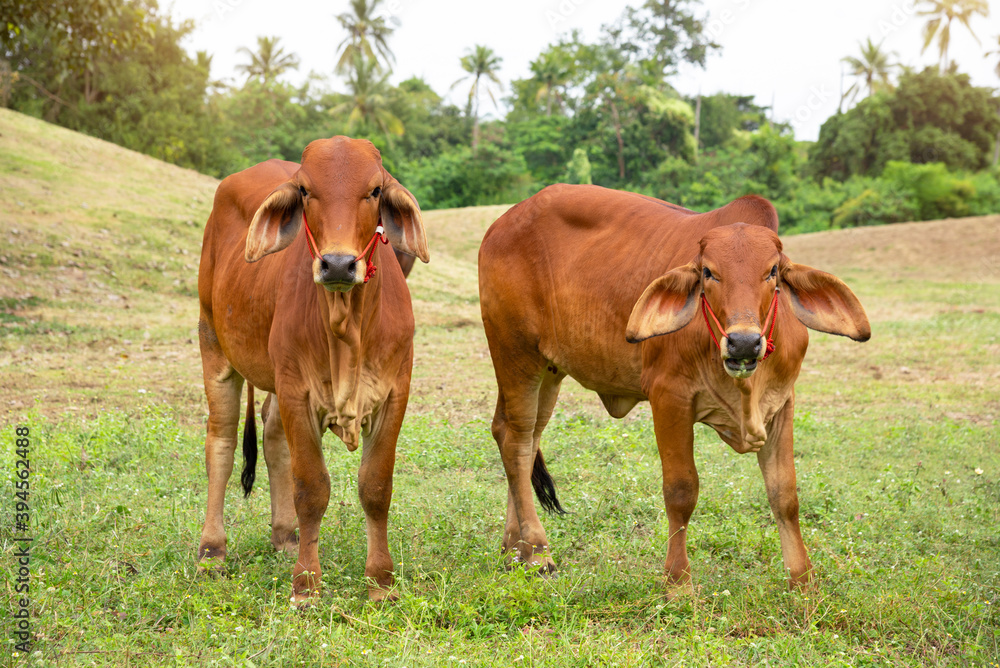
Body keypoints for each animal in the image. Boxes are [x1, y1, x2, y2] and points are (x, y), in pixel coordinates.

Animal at [197, 134, 428, 600]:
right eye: (305, 190)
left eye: (375, 190)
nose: (338, 264)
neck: (347, 327)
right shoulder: (297, 393)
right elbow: (311, 488)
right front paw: (306, 585)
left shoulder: (395, 394)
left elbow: (376, 487)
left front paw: (381, 582)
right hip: (213, 345)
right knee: (221, 445)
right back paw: (212, 550)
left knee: (271, 439)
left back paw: (285, 535)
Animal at [476, 185, 868, 592]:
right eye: (709, 272)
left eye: (772, 271)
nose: (744, 343)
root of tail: (502, 224)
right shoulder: (668, 398)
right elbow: (681, 492)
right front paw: (678, 583)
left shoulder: (781, 403)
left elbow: (785, 495)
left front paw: (803, 583)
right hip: (514, 353)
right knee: (517, 441)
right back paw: (538, 552)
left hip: (549, 368)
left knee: (520, 438)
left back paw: (514, 550)